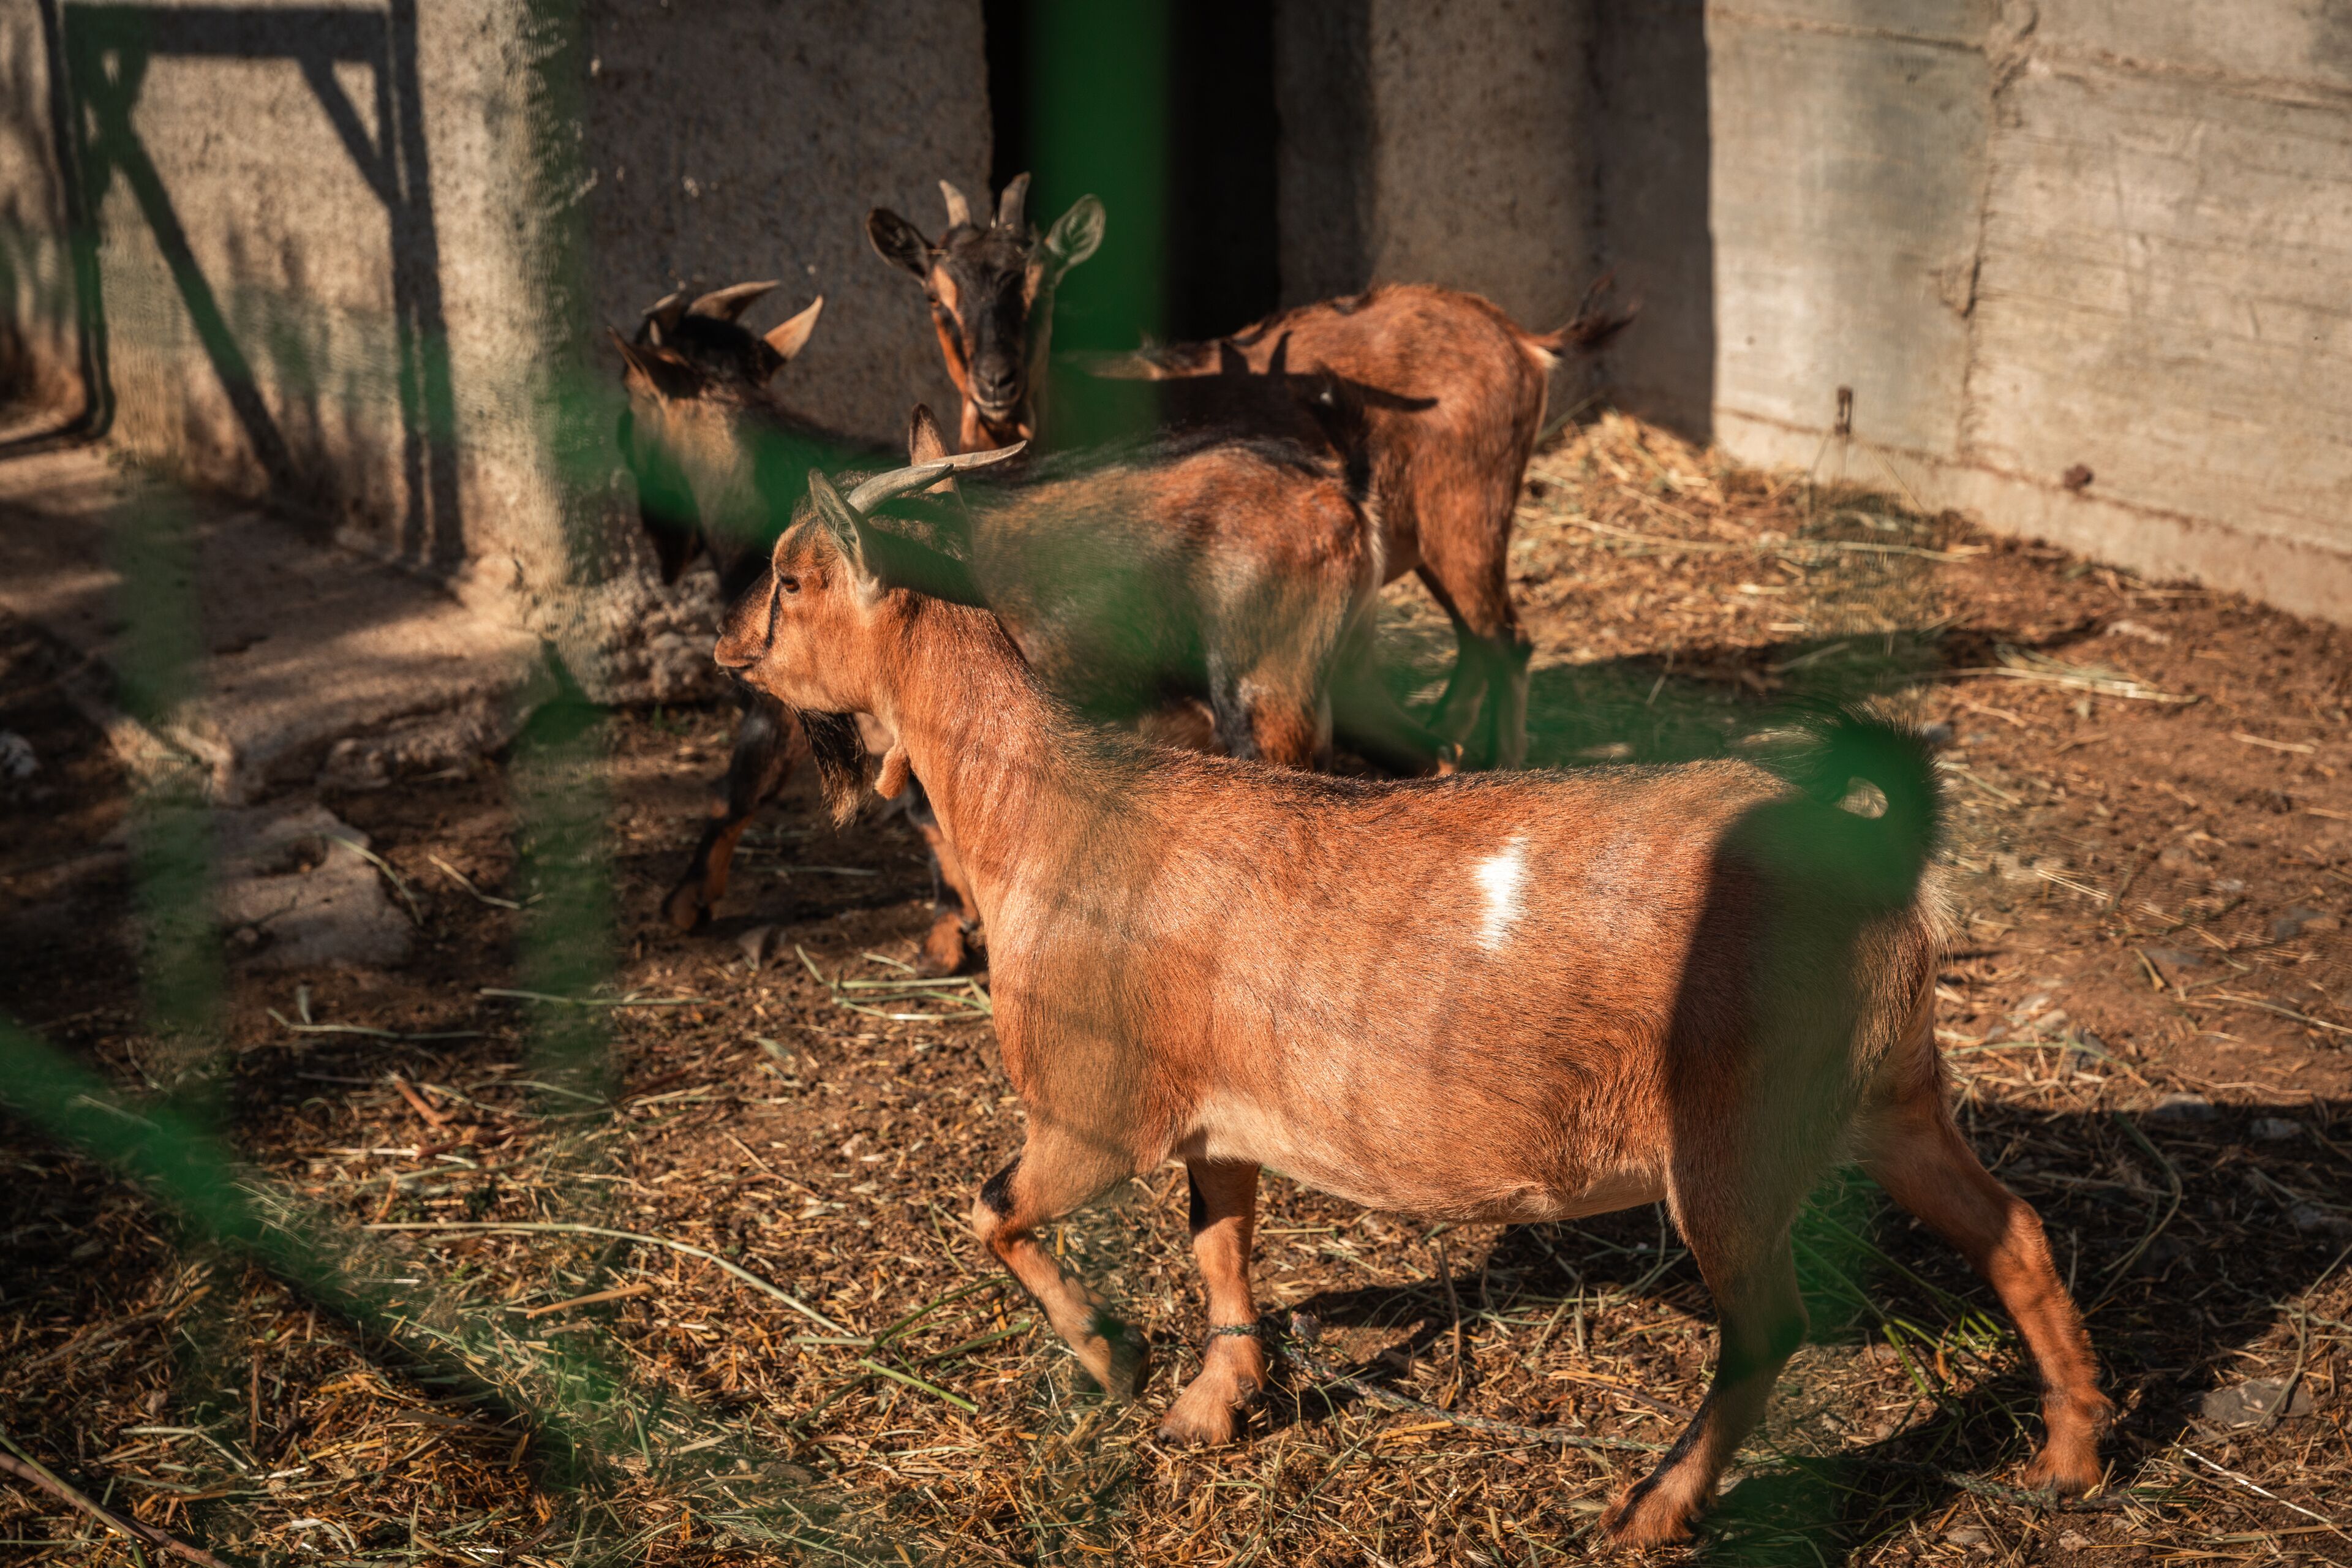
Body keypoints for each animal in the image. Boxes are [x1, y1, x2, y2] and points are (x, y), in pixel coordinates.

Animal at [712, 456, 2112, 1546]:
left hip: (1730, 1136)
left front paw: (1114, 1360)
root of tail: (1869, 853)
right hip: (1887, 1086)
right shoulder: (1221, 1113)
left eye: (791, 578)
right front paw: (1211, 1405)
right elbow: (1220, 1242)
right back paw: (2074, 1458)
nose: (731, 649)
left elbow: (994, 1207)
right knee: (2013, 1231)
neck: (1042, 806)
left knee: (1771, 1324)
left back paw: (1653, 1509)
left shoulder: (1094, 1107)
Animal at [867, 175, 1634, 770]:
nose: (997, 384)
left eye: (1041, 290)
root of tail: (1523, 340)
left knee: (1506, 641)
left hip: (1467, 515)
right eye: (936, 297)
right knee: (1475, 648)